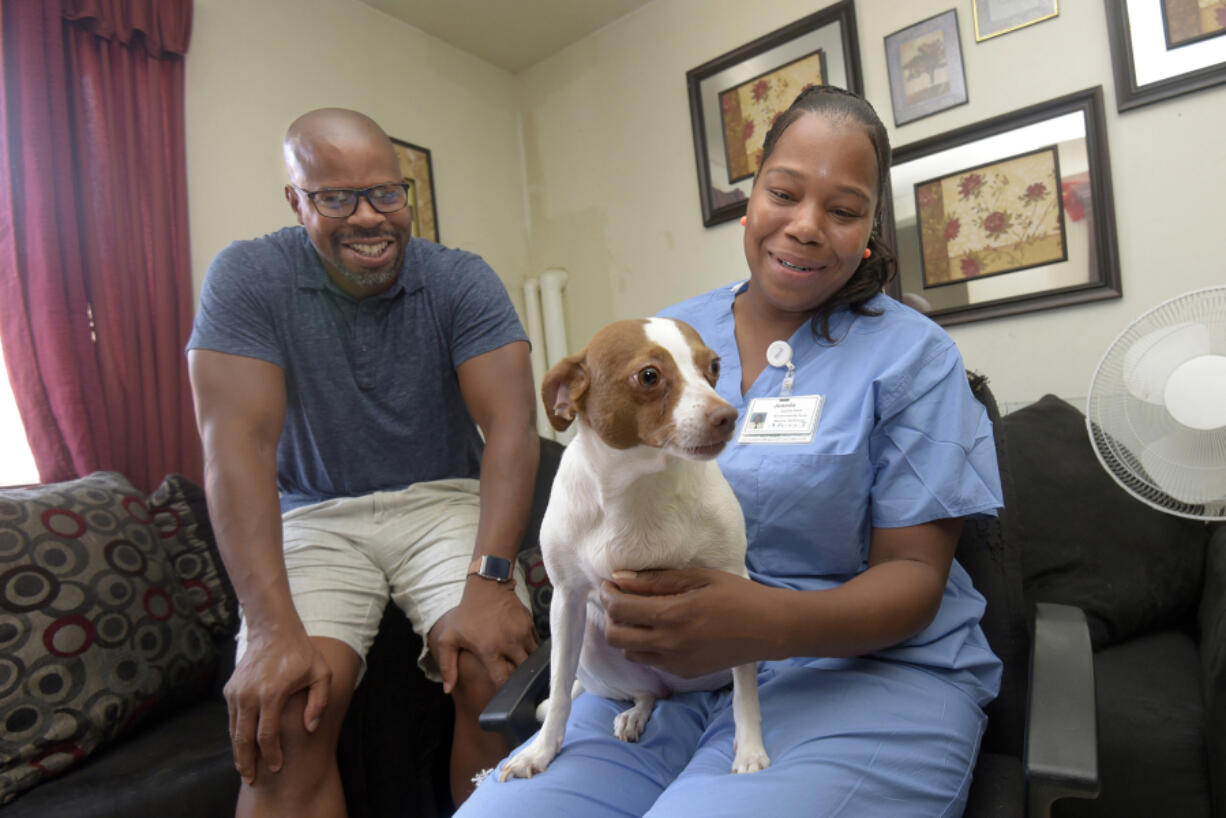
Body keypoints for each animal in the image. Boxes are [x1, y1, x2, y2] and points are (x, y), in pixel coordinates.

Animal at [495, 318, 765, 779]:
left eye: (713, 365)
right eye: (649, 376)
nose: (728, 416)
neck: (639, 486)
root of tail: (677, 684)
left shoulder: (735, 585)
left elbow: (747, 690)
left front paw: (749, 750)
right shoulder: (566, 601)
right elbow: (560, 692)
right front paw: (541, 750)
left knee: (731, 681)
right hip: (590, 640)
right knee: (646, 693)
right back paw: (635, 713)